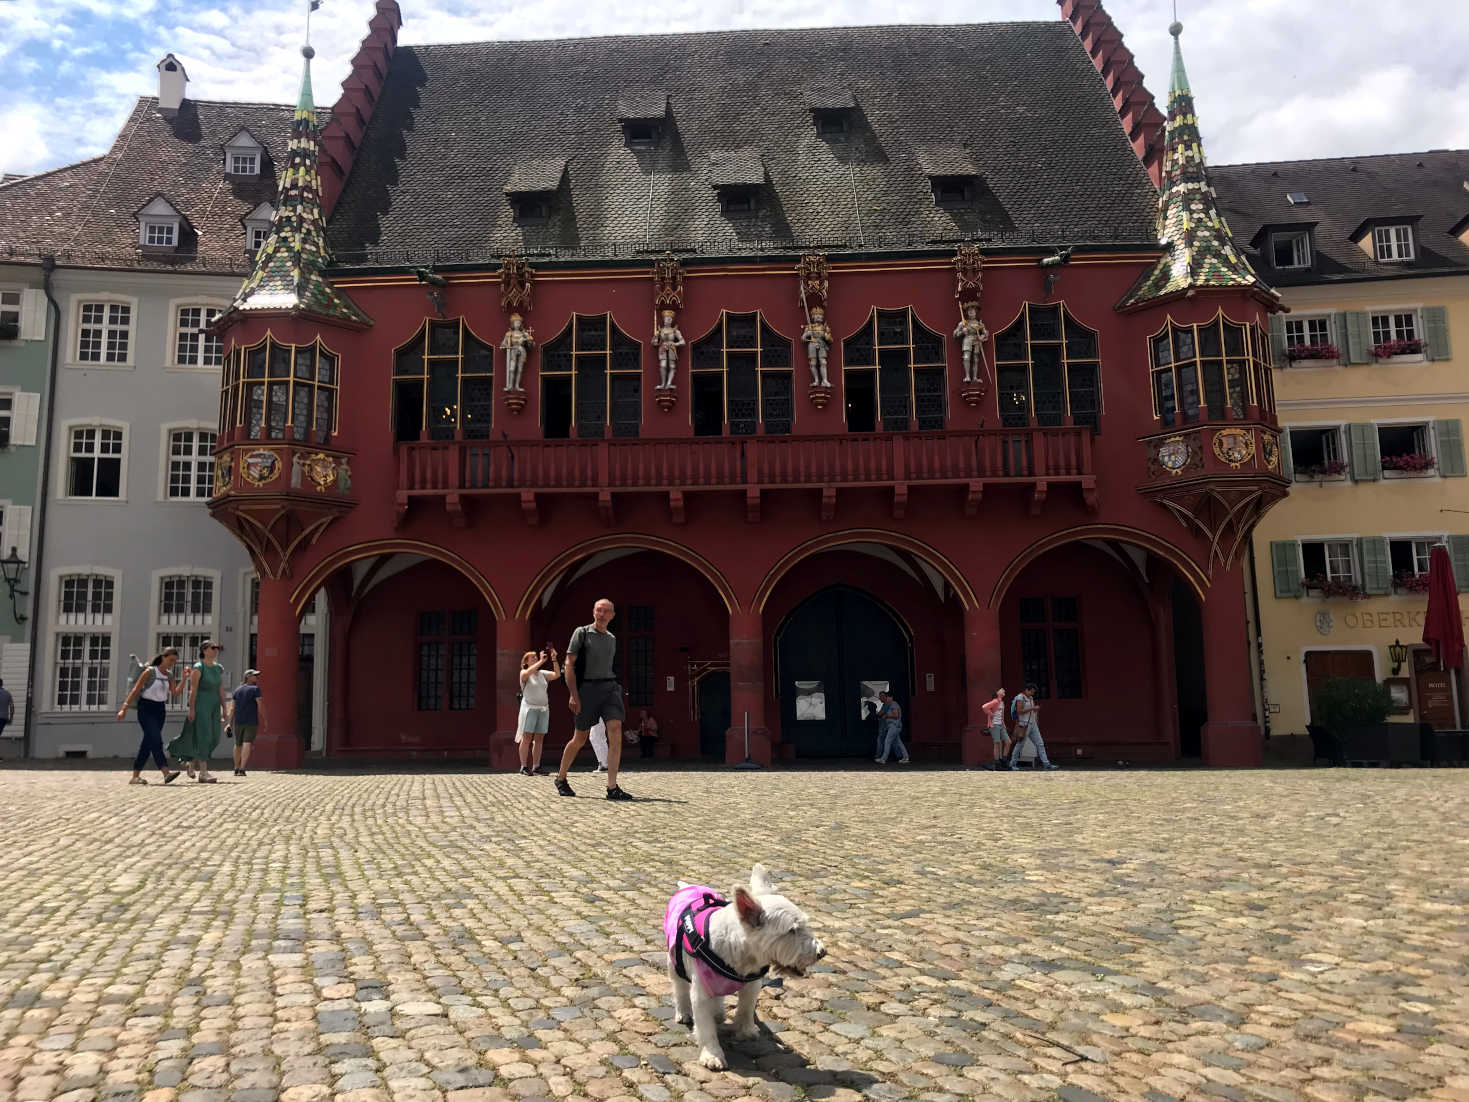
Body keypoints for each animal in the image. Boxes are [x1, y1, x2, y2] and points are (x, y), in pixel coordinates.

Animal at [666, 869, 828, 1069]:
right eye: (792, 930)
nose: (822, 952)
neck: (744, 957)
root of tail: (689, 887)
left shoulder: (752, 985)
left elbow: (746, 1008)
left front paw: (745, 1030)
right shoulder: (701, 992)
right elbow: (705, 1025)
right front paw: (712, 1054)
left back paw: (718, 1012)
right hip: (673, 962)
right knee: (679, 987)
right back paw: (684, 1012)